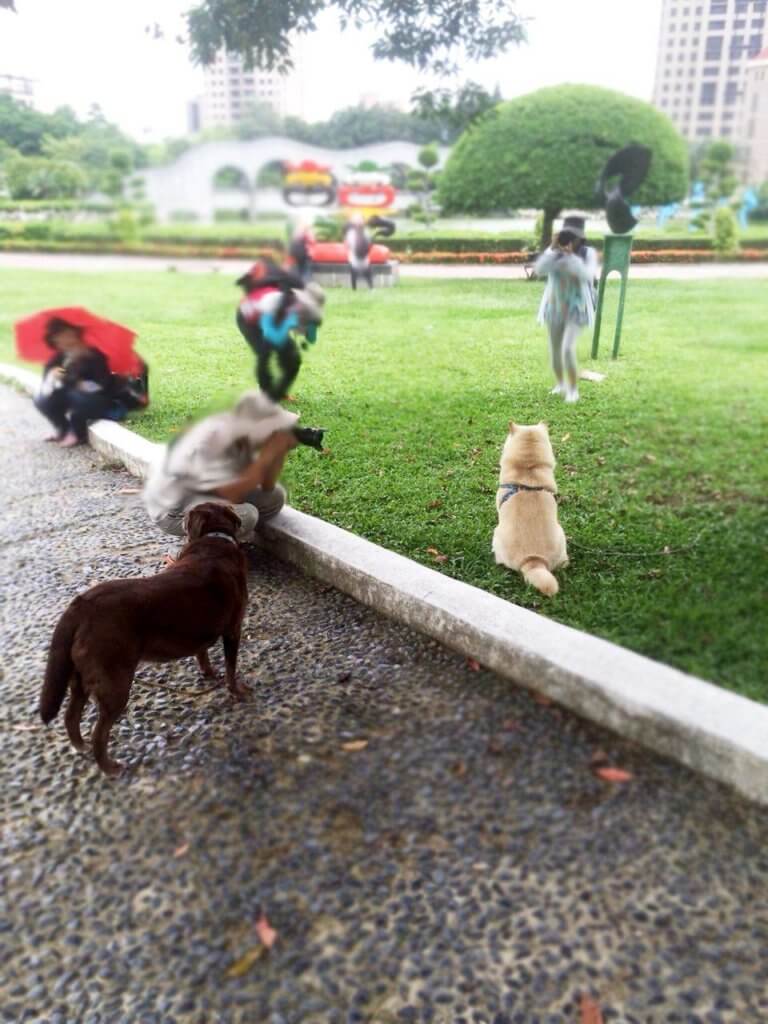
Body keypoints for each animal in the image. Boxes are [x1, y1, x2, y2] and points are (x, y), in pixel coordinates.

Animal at [39, 501, 249, 774]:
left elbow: (202, 653)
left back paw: (80, 746)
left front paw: (209, 672)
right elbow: (231, 668)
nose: (176, 513)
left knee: (71, 716)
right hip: (114, 681)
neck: (215, 537)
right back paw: (110, 767)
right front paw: (236, 690)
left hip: (79, 676)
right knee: (99, 732)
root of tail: (81, 605)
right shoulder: (233, 629)